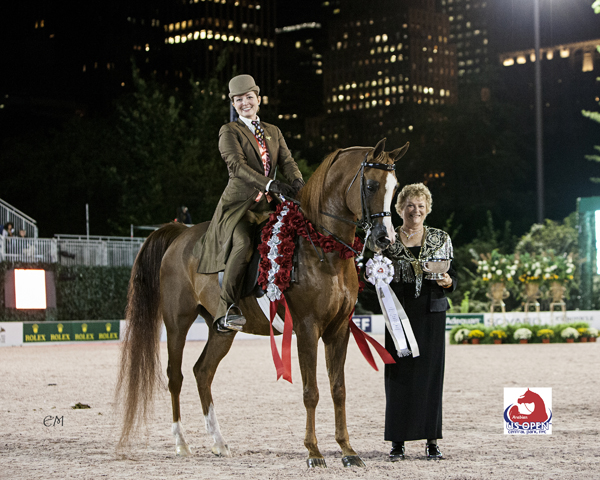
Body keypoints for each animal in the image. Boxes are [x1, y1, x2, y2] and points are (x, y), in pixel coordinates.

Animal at [115, 137, 410, 466]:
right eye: (371, 185)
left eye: (395, 187)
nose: (385, 239)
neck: (322, 245)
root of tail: (180, 234)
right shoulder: (307, 328)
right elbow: (311, 391)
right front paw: (314, 452)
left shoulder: (338, 330)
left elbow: (338, 389)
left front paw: (347, 451)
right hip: (178, 321)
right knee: (174, 376)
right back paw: (181, 443)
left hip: (221, 329)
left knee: (202, 372)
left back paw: (219, 442)